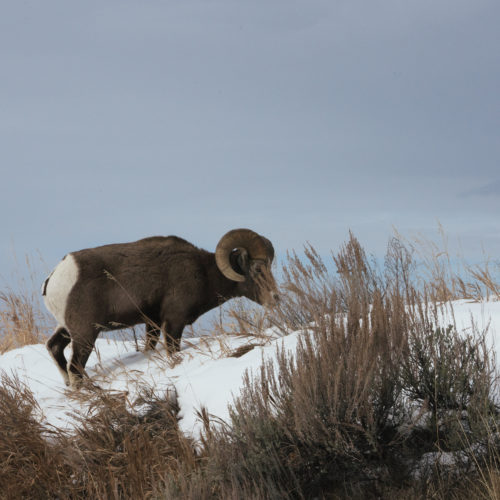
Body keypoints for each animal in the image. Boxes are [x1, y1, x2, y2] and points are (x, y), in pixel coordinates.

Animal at [42, 229, 278, 388]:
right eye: (258, 269)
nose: (275, 297)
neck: (202, 272)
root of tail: (55, 278)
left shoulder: (152, 324)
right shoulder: (174, 322)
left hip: (67, 329)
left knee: (54, 348)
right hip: (85, 334)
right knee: (74, 367)